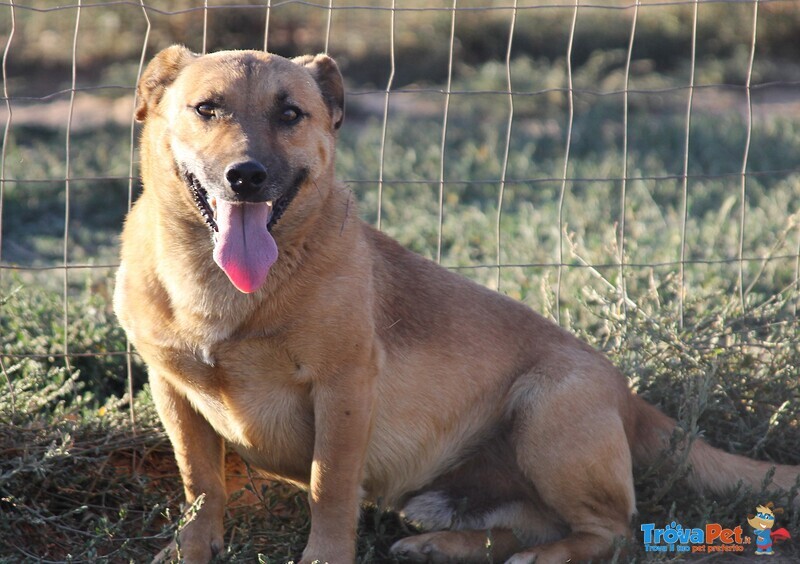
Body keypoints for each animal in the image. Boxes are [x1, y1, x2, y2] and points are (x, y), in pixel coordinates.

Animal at [114, 46, 800, 560]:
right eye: (207, 108)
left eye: (290, 113)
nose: (247, 176)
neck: (220, 290)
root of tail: (629, 396)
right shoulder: (174, 392)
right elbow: (201, 486)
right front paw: (189, 550)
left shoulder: (343, 388)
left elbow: (328, 488)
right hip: (454, 490)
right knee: (524, 523)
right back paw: (443, 545)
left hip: (545, 414)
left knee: (610, 531)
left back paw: (535, 556)